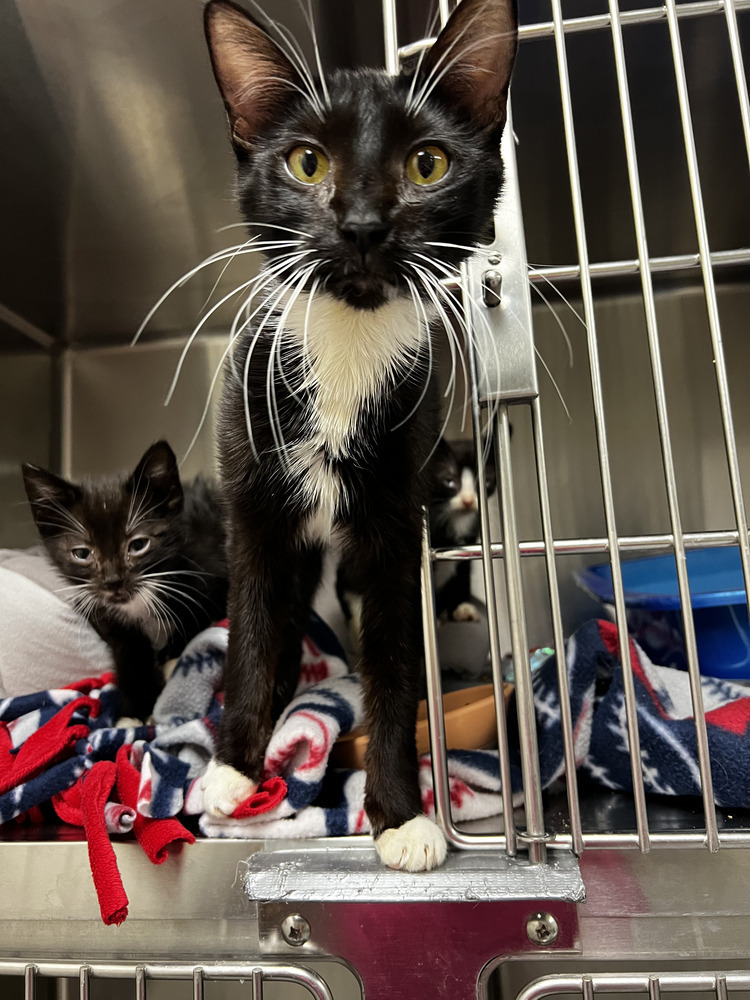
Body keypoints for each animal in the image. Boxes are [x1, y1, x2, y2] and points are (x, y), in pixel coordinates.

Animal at [23, 440, 229, 720]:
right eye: (82, 554)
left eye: (139, 545)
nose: (113, 581)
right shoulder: (93, 602)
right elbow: (126, 640)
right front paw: (139, 699)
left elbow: (196, 616)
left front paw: (173, 653)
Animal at [198, 0, 516, 868]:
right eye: (307, 163)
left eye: (428, 165)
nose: (365, 226)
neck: (347, 345)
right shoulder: (253, 503)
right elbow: (254, 630)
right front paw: (233, 767)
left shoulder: (397, 519)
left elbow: (395, 659)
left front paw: (401, 815)